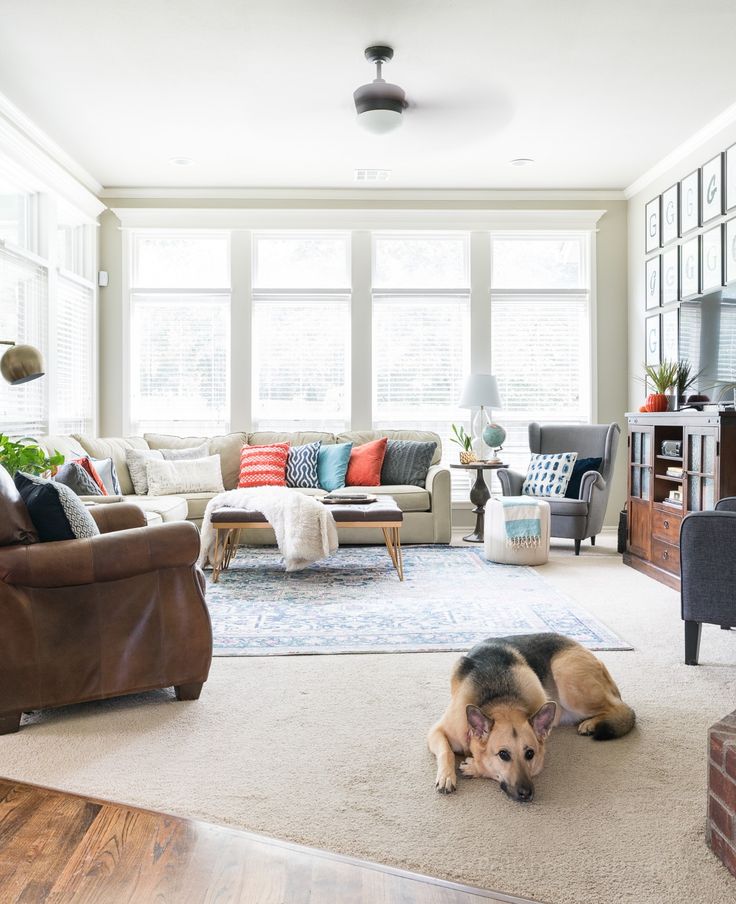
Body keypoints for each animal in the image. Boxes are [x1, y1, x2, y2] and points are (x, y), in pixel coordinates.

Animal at [428, 632, 636, 800]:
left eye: (530, 754)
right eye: (503, 754)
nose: (526, 794)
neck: (502, 698)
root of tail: (579, 646)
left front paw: (474, 767)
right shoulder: (436, 732)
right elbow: (446, 751)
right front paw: (447, 776)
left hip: (567, 678)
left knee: (622, 709)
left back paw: (592, 723)